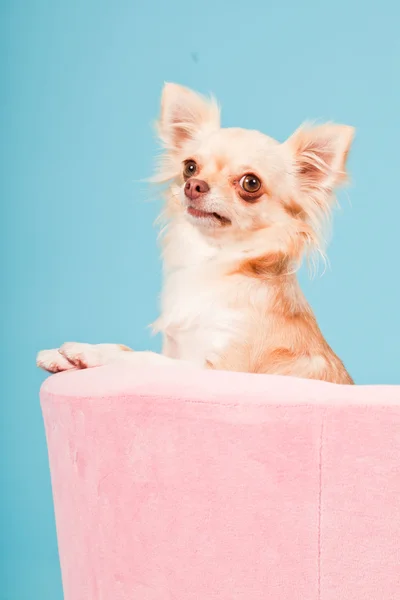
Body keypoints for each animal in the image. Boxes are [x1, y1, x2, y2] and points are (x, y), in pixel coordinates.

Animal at [37, 82, 354, 384]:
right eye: (190, 167)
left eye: (251, 183)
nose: (194, 185)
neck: (213, 259)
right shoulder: (176, 348)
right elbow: (130, 348)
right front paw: (59, 355)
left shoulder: (215, 368)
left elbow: (143, 357)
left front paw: (89, 352)